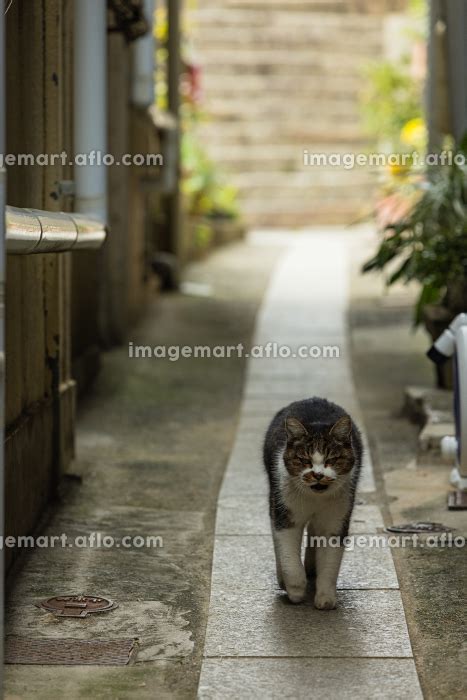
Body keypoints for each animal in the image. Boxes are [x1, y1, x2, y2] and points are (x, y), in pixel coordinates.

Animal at [266, 400, 364, 608]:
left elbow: (329, 561)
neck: (315, 499)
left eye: (332, 459)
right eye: (304, 460)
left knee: (313, 530)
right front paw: (295, 590)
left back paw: (311, 567)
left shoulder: (336, 519)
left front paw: (325, 598)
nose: (318, 474)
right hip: (275, 495)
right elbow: (289, 557)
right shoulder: (286, 514)